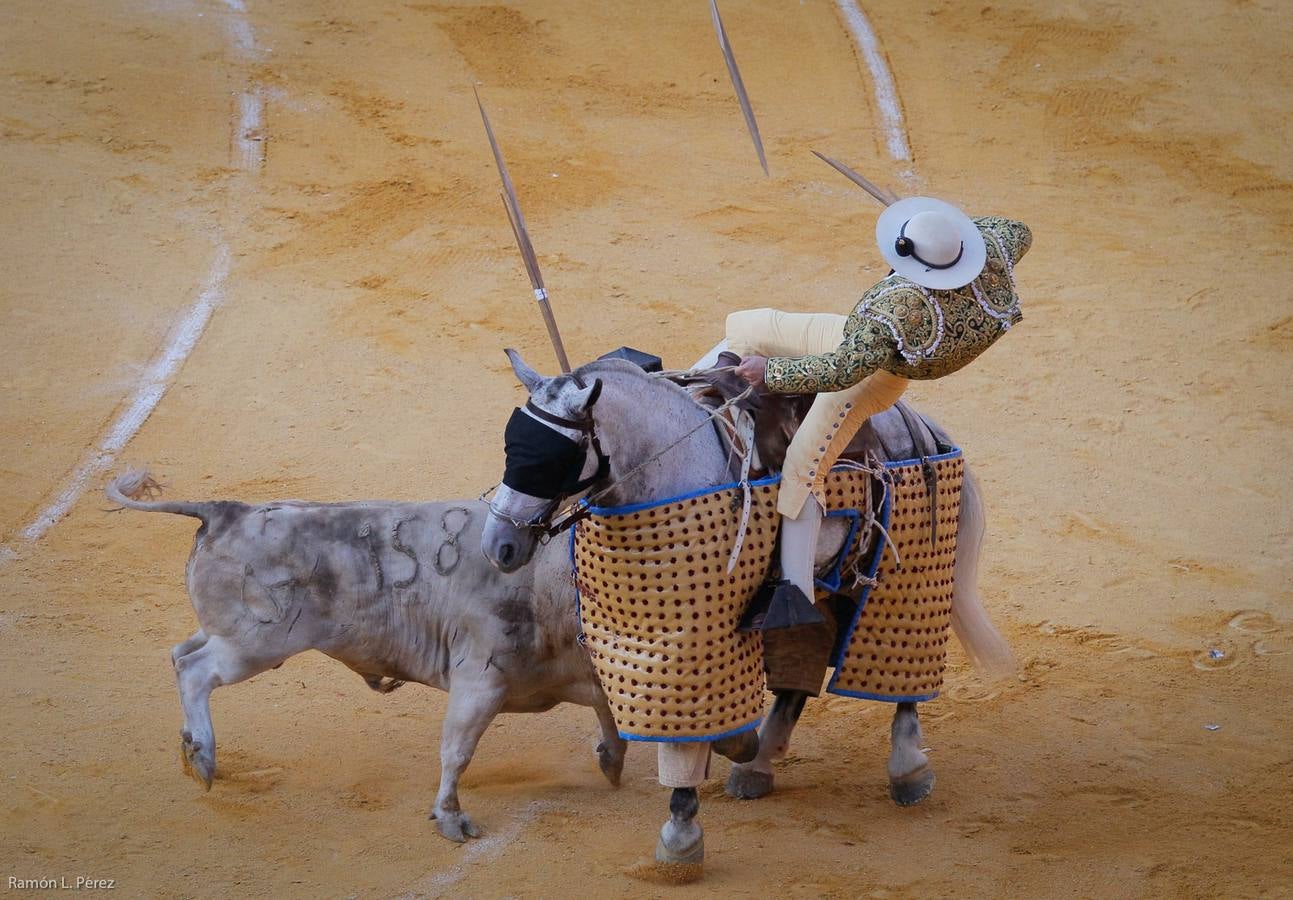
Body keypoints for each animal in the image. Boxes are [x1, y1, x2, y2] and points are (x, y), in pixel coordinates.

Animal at [108, 470, 623, 843]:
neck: (555, 579)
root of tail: (227, 511)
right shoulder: (480, 679)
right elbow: (457, 751)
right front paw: (450, 818)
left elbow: (609, 711)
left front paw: (611, 762)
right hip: (251, 646)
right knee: (195, 669)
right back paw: (204, 758)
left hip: (230, 634)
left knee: (180, 652)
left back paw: (188, 746)